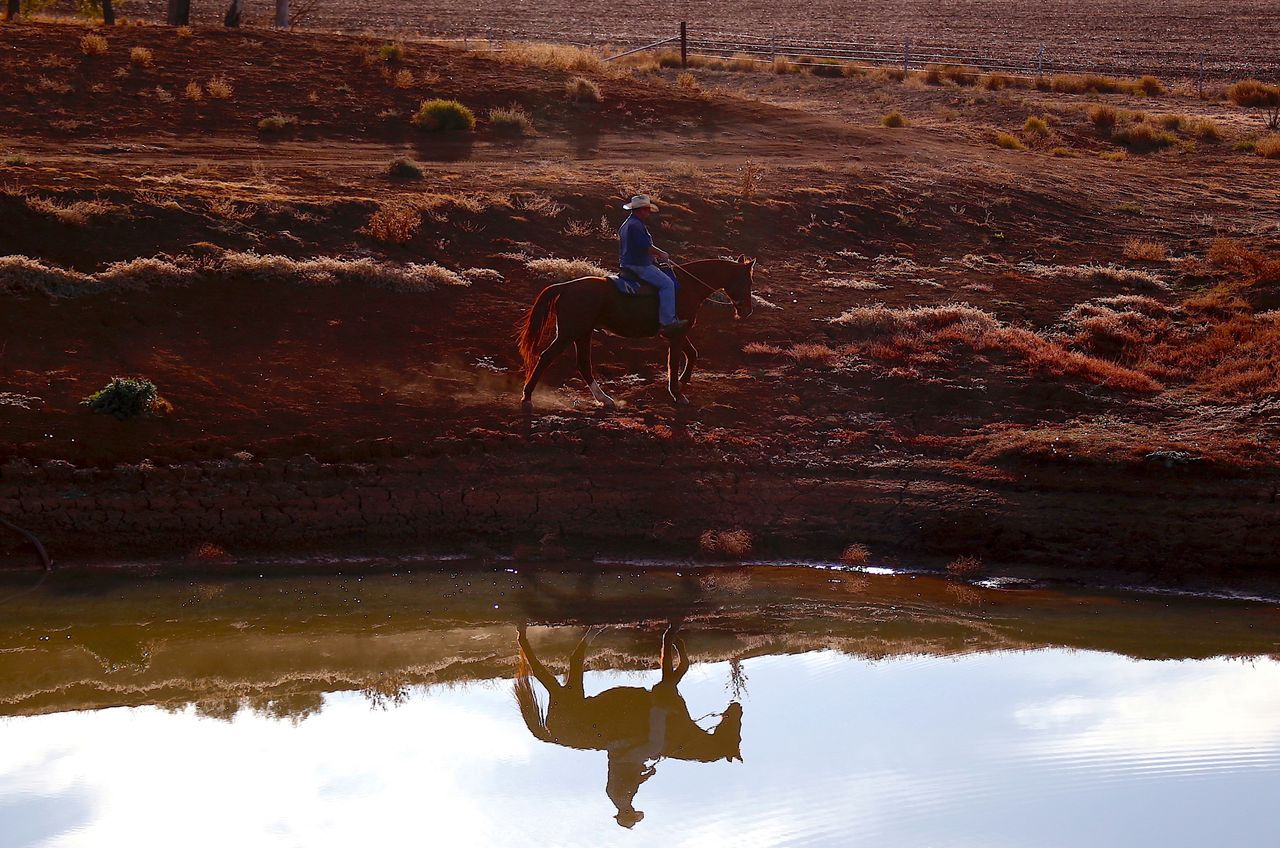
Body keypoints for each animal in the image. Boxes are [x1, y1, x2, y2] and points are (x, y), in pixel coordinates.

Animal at [517, 257, 752, 409]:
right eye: (747, 281)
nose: (747, 311)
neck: (689, 285)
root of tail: (566, 286)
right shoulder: (676, 334)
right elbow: (674, 362)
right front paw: (677, 394)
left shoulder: (678, 332)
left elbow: (692, 353)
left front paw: (683, 381)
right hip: (569, 333)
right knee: (546, 357)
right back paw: (527, 398)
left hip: (582, 334)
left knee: (583, 364)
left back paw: (604, 399)